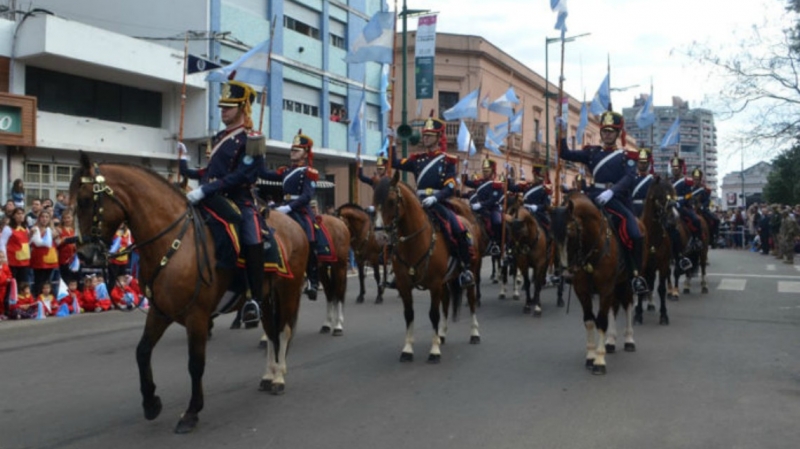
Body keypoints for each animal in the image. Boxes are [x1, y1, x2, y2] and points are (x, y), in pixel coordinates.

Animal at [69, 153, 308, 430]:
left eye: (85, 200)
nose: (85, 255)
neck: (173, 241)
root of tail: (293, 225)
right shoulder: (161, 311)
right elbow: (142, 352)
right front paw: (151, 403)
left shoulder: (197, 316)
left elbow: (195, 364)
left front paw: (191, 412)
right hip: (267, 296)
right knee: (270, 332)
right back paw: (269, 374)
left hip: (289, 290)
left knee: (284, 330)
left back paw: (279, 377)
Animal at [372, 171, 478, 360]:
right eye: (374, 199)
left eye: (391, 201)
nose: (380, 237)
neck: (414, 242)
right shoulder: (404, 285)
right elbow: (409, 314)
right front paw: (407, 349)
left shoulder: (434, 284)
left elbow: (433, 314)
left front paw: (434, 351)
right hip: (445, 281)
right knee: (446, 301)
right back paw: (442, 335)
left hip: (470, 273)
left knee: (472, 301)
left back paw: (474, 334)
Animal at [552, 191, 640, 372]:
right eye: (554, 237)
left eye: (571, 234)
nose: (566, 274)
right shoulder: (582, 290)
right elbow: (590, 321)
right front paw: (591, 356)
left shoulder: (606, 288)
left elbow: (601, 321)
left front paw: (599, 360)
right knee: (614, 307)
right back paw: (611, 341)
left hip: (625, 282)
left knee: (627, 303)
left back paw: (629, 339)